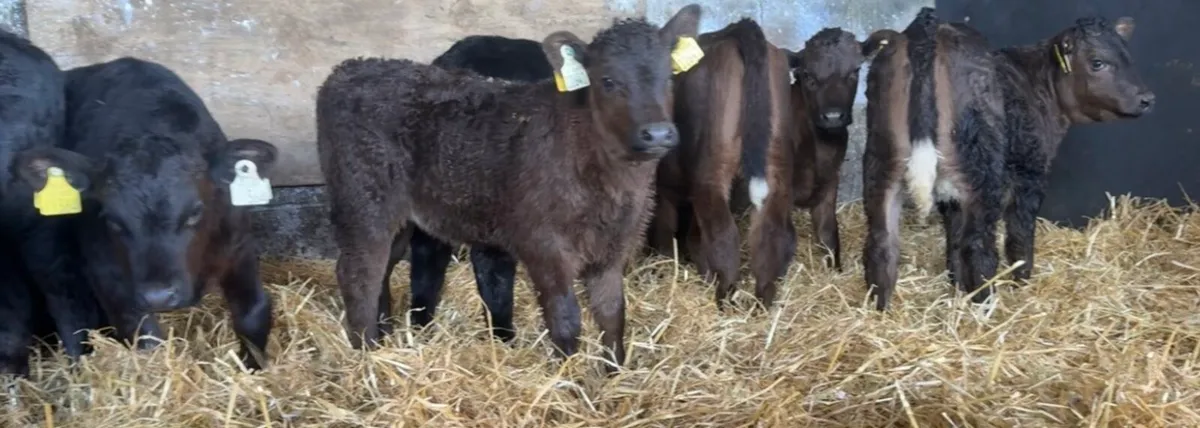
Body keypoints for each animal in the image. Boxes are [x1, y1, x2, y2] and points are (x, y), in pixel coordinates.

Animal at [46, 57, 280, 370]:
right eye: (113, 221)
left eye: (195, 212)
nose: (158, 296)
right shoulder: (104, 269)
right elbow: (143, 335)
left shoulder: (238, 247)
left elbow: (252, 313)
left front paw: (253, 368)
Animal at [862, 8, 1154, 310]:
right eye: (1097, 62)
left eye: (1129, 57)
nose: (1147, 99)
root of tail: (928, 28)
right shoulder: (1030, 172)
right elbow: (1020, 230)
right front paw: (1021, 280)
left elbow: (953, 237)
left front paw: (958, 288)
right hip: (983, 171)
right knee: (979, 246)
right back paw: (987, 306)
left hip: (882, 161)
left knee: (882, 242)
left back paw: (881, 311)